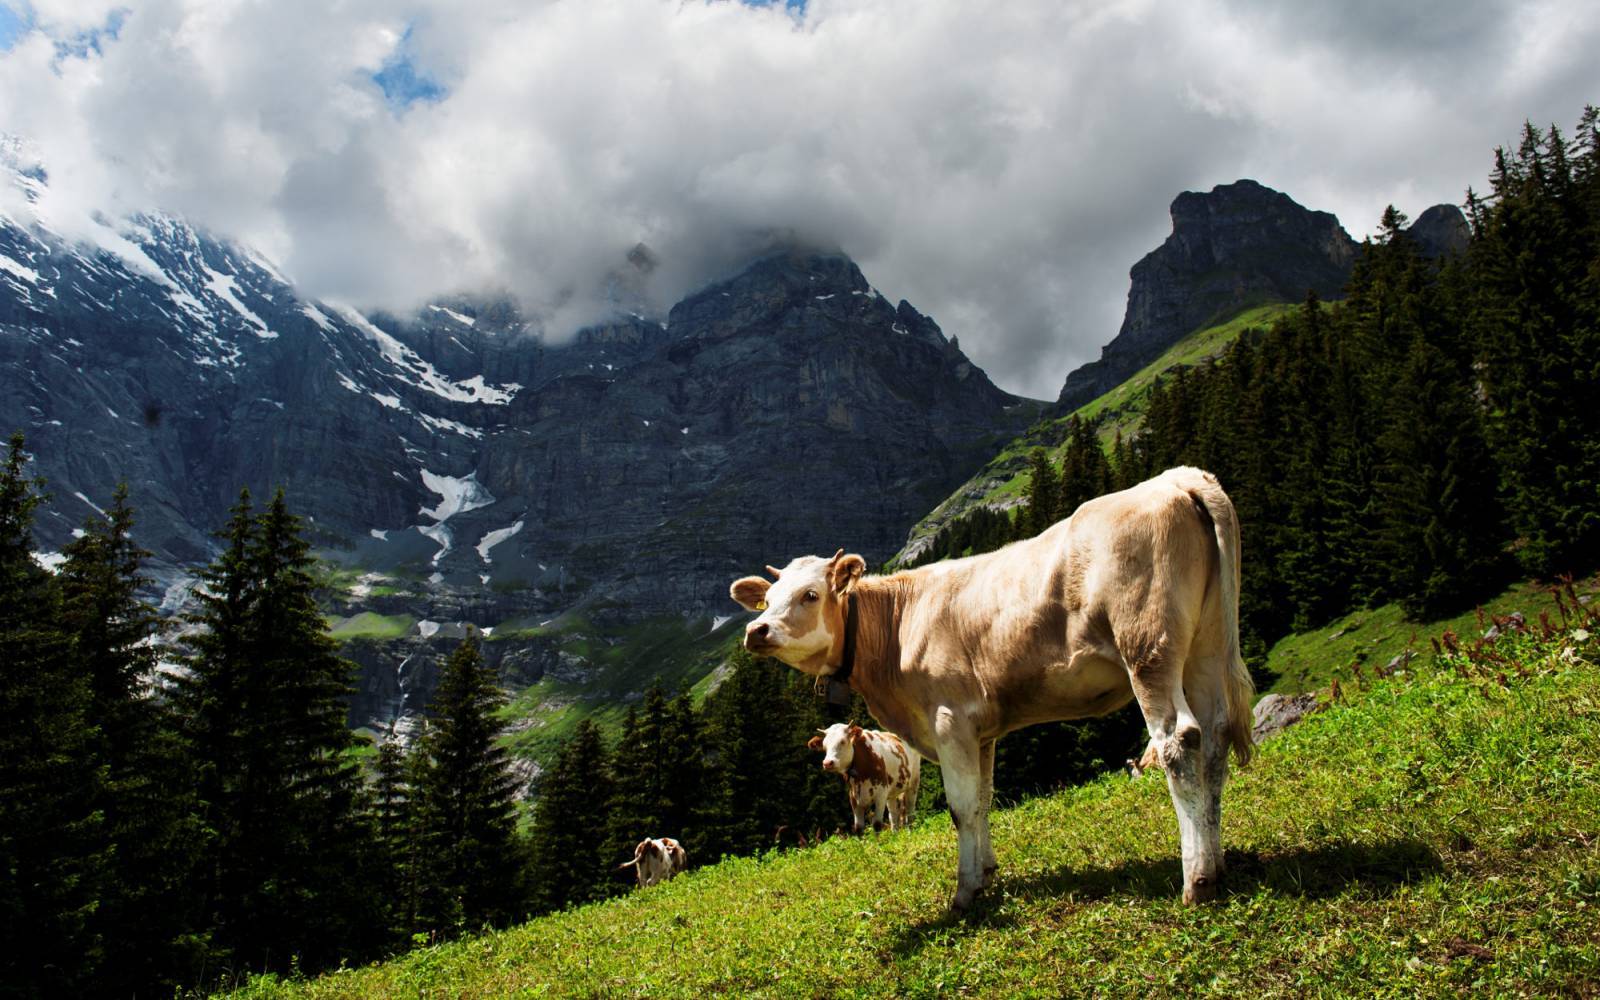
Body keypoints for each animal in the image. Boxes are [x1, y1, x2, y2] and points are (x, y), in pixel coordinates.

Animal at [732, 467, 1254, 915]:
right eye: (767, 600)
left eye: (811, 595)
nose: (756, 631)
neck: (897, 630)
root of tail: (1175, 479)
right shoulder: (982, 731)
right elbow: (983, 800)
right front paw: (986, 874)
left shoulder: (949, 719)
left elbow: (961, 809)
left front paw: (964, 894)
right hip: (1206, 647)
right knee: (1215, 738)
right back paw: (1219, 862)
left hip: (1148, 648)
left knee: (1178, 741)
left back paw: (1197, 880)